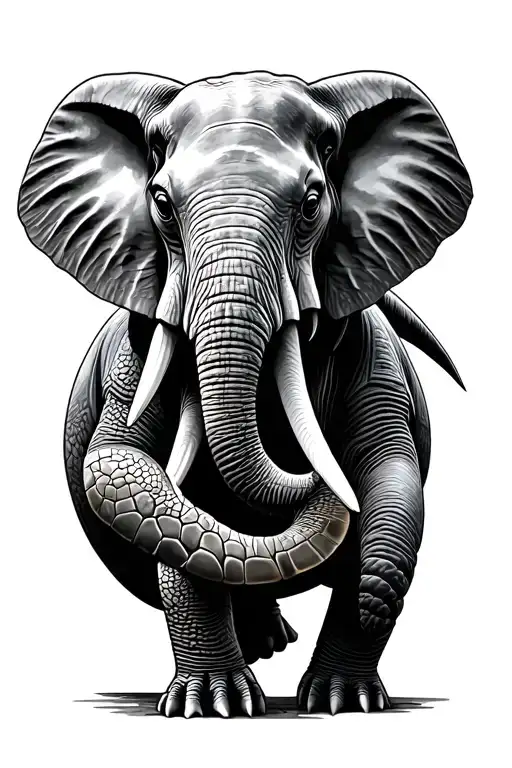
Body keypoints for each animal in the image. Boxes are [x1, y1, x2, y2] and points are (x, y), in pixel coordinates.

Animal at [18, 69, 472, 717]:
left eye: (312, 204)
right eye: (161, 204)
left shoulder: (371, 358)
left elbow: (390, 480)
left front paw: (345, 691)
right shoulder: (138, 354)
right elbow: (134, 473)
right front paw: (213, 707)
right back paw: (262, 643)